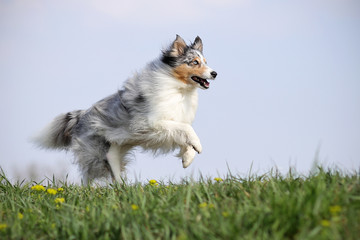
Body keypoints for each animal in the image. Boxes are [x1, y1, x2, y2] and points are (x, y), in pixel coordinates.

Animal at [34, 34, 217, 183]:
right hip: (94, 153)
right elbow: (186, 129)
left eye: (206, 62)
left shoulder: (171, 124)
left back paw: (122, 189)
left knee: (111, 163)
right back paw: (87, 192)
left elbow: (185, 136)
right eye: (195, 62)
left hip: (116, 149)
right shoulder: (152, 123)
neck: (179, 89)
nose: (215, 73)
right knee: (87, 174)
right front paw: (197, 147)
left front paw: (187, 158)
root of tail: (81, 115)